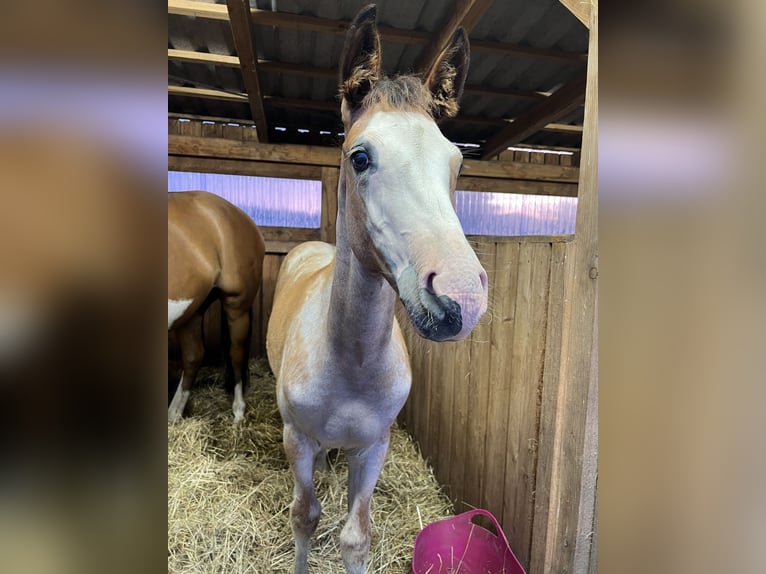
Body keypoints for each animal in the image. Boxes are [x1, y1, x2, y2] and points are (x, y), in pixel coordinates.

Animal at [168, 190, 265, 423]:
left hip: (236, 306)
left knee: (236, 354)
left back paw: (238, 414)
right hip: (193, 311)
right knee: (193, 356)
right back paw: (173, 415)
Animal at [266, 5, 488, 573]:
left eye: (456, 162)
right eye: (360, 157)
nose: (461, 299)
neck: (351, 362)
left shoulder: (373, 448)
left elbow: (355, 536)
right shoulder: (297, 439)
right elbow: (304, 517)